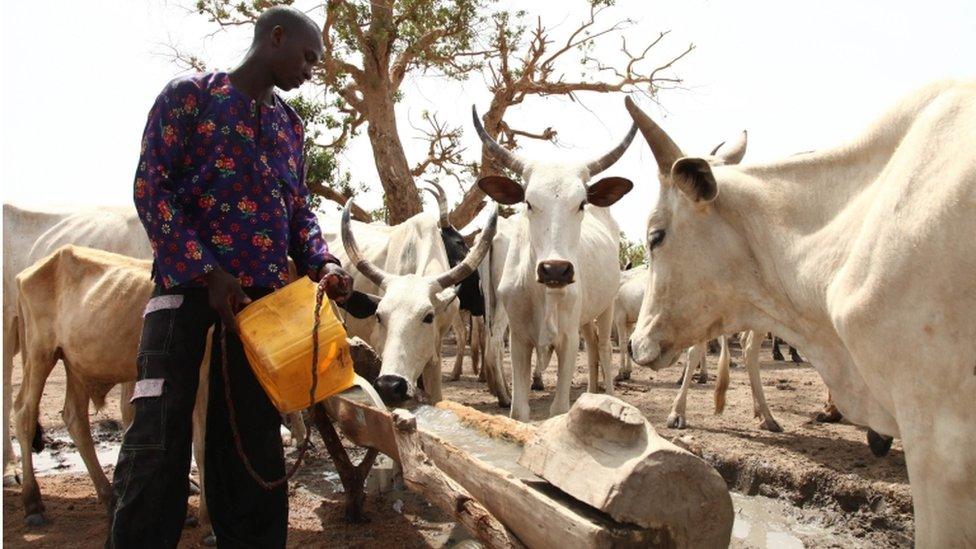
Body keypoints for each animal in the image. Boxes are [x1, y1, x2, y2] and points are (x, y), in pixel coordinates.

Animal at [474, 105, 640, 418]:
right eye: (528, 202)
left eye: (581, 203)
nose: (555, 269)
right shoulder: (519, 340)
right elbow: (519, 411)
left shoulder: (567, 340)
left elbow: (559, 409)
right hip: (583, 316)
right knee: (593, 349)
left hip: (607, 307)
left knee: (604, 349)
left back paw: (609, 396)